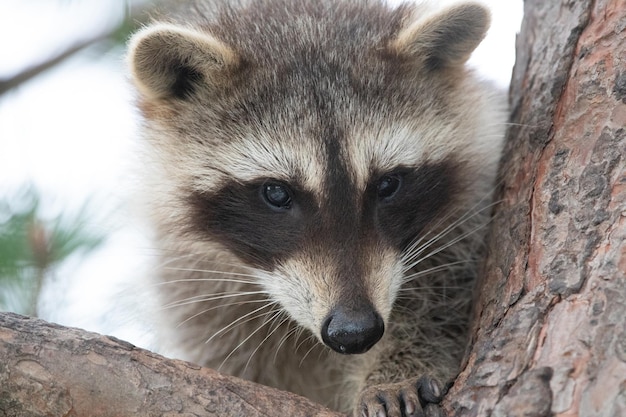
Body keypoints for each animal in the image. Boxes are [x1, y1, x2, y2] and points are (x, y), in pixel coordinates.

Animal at [128, 1, 508, 414]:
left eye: (387, 184)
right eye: (276, 193)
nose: (355, 332)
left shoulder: (470, 213)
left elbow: (441, 301)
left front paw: (395, 370)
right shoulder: (193, 288)